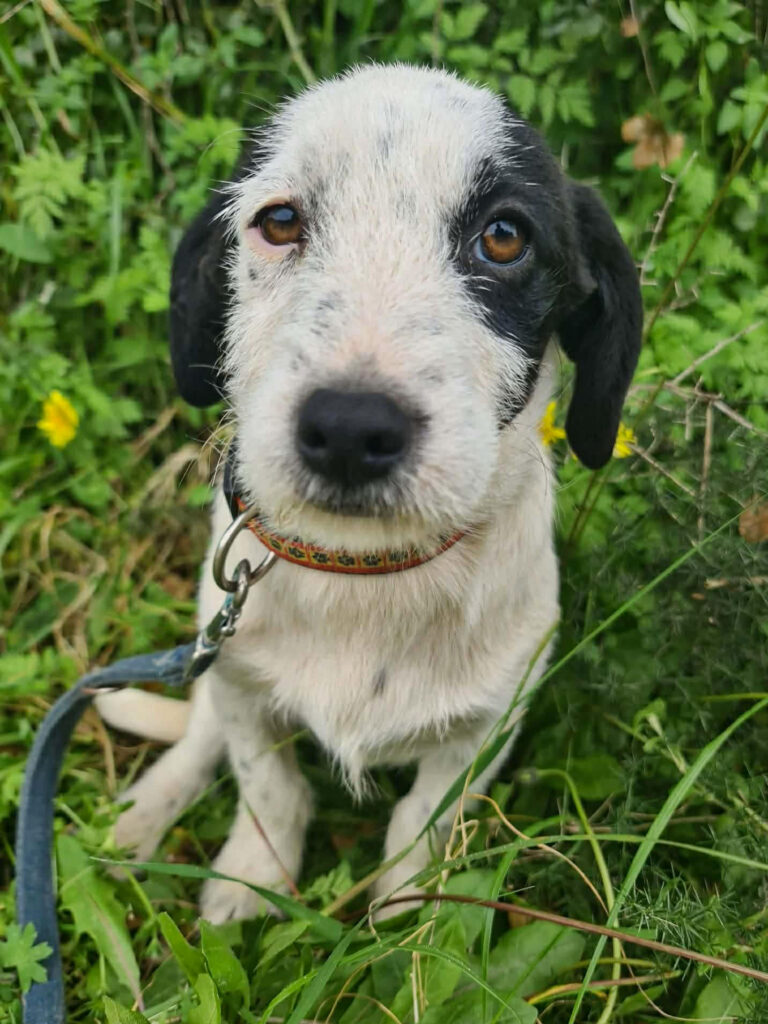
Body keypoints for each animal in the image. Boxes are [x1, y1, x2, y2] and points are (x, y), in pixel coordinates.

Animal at [97, 63, 642, 923]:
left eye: (505, 236)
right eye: (279, 220)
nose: (350, 429)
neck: (365, 571)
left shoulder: (488, 725)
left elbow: (424, 820)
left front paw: (405, 921)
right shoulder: (243, 683)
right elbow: (268, 783)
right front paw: (250, 878)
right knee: (199, 733)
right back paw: (147, 812)